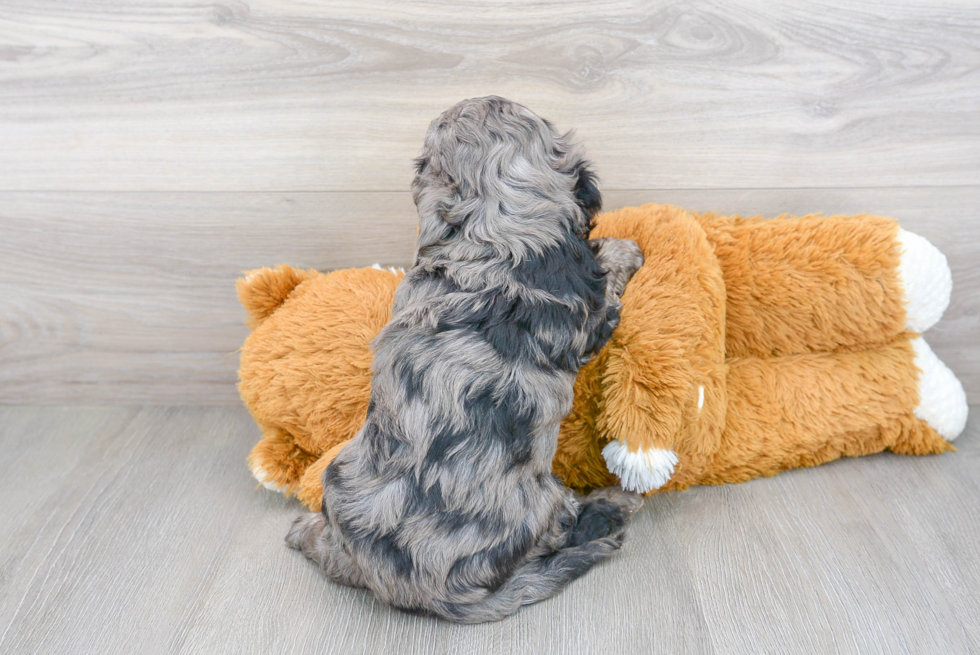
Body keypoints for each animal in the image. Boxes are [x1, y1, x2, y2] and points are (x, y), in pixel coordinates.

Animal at [288, 95, 648, 624]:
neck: (490, 236)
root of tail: (430, 595)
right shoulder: (590, 313)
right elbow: (605, 276)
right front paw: (625, 249)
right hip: (543, 505)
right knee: (569, 528)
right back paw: (613, 504)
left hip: (341, 476)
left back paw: (308, 532)